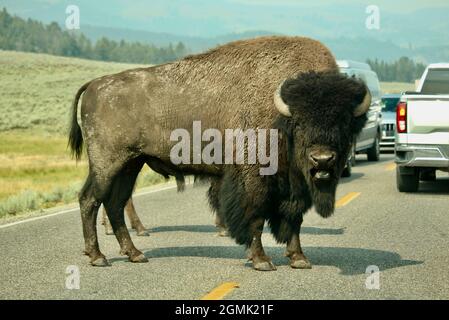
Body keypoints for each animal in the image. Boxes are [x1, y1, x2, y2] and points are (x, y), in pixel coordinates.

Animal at [68, 35, 368, 270]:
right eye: (300, 123)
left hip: (130, 164)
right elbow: (255, 217)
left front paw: (299, 259)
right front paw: (261, 261)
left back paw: (135, 254)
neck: (279, 114)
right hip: (108, 164)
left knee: (115, 203)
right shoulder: (253, 178)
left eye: (344, 122)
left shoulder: (294, 187)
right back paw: (98, 257)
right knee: (90, 200)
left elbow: (294, 220)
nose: (322, 159)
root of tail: (95, 84)